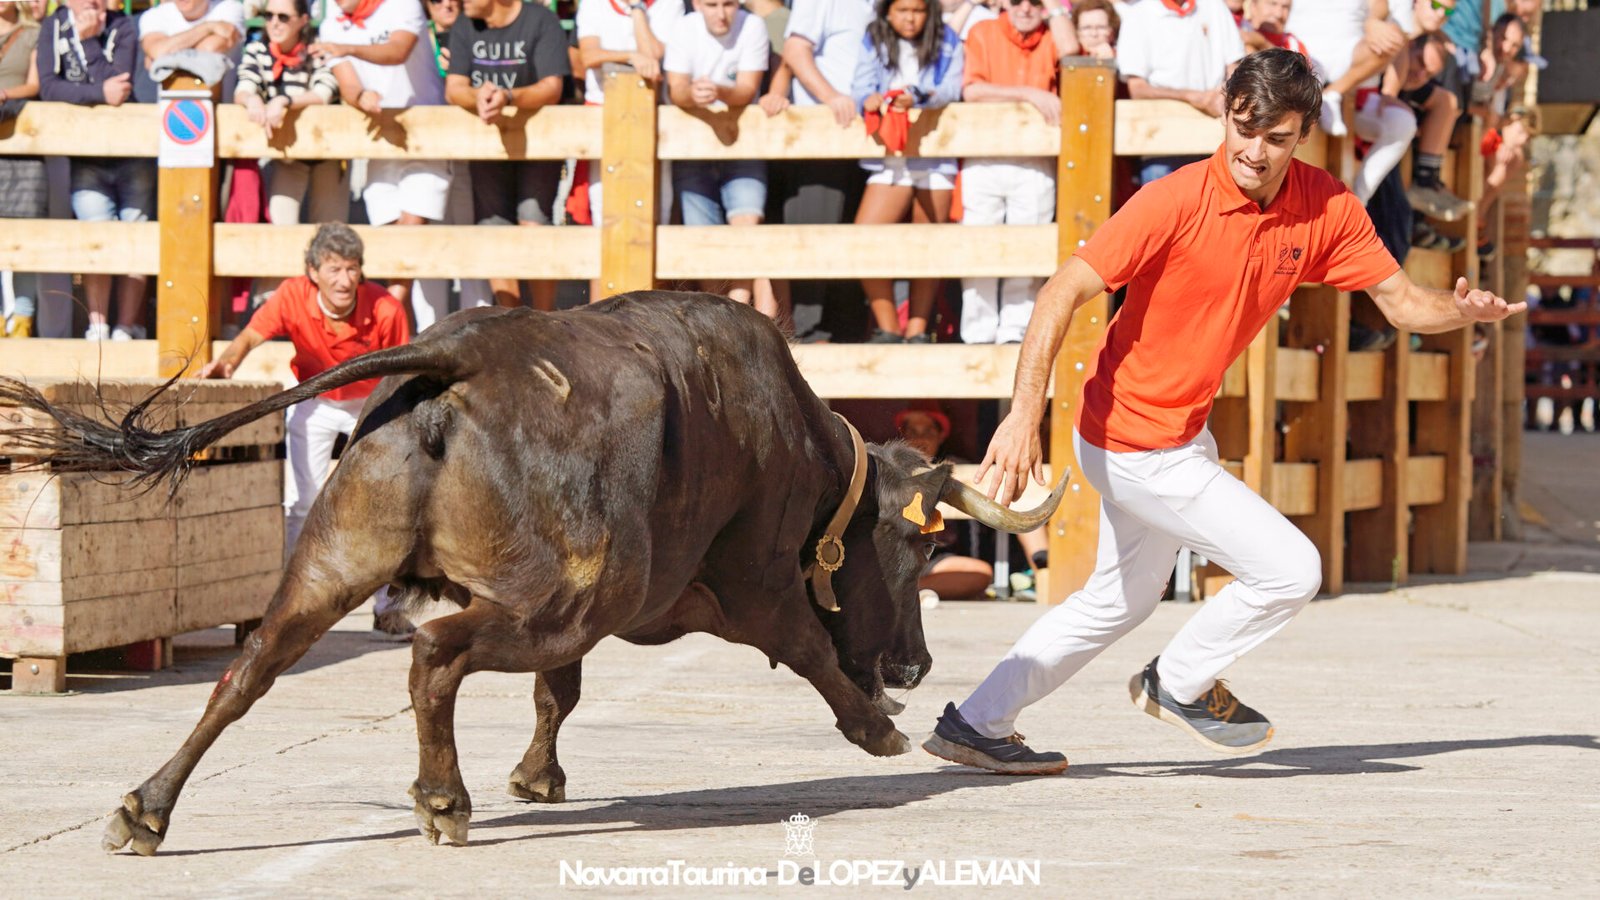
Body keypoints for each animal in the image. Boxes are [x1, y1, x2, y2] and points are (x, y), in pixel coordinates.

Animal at [6, 293, 1068, 845]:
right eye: (920, 545)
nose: (915, 665)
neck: (805, 451)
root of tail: (463, 349)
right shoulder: (753, 585)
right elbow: (810, 648)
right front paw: (876, 727)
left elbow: (561, 693)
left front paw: (537, 776)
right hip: (561, 592)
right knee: (434, 654)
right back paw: (442, 799)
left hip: (339, 562)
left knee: (250, 667)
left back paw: (146, 808)